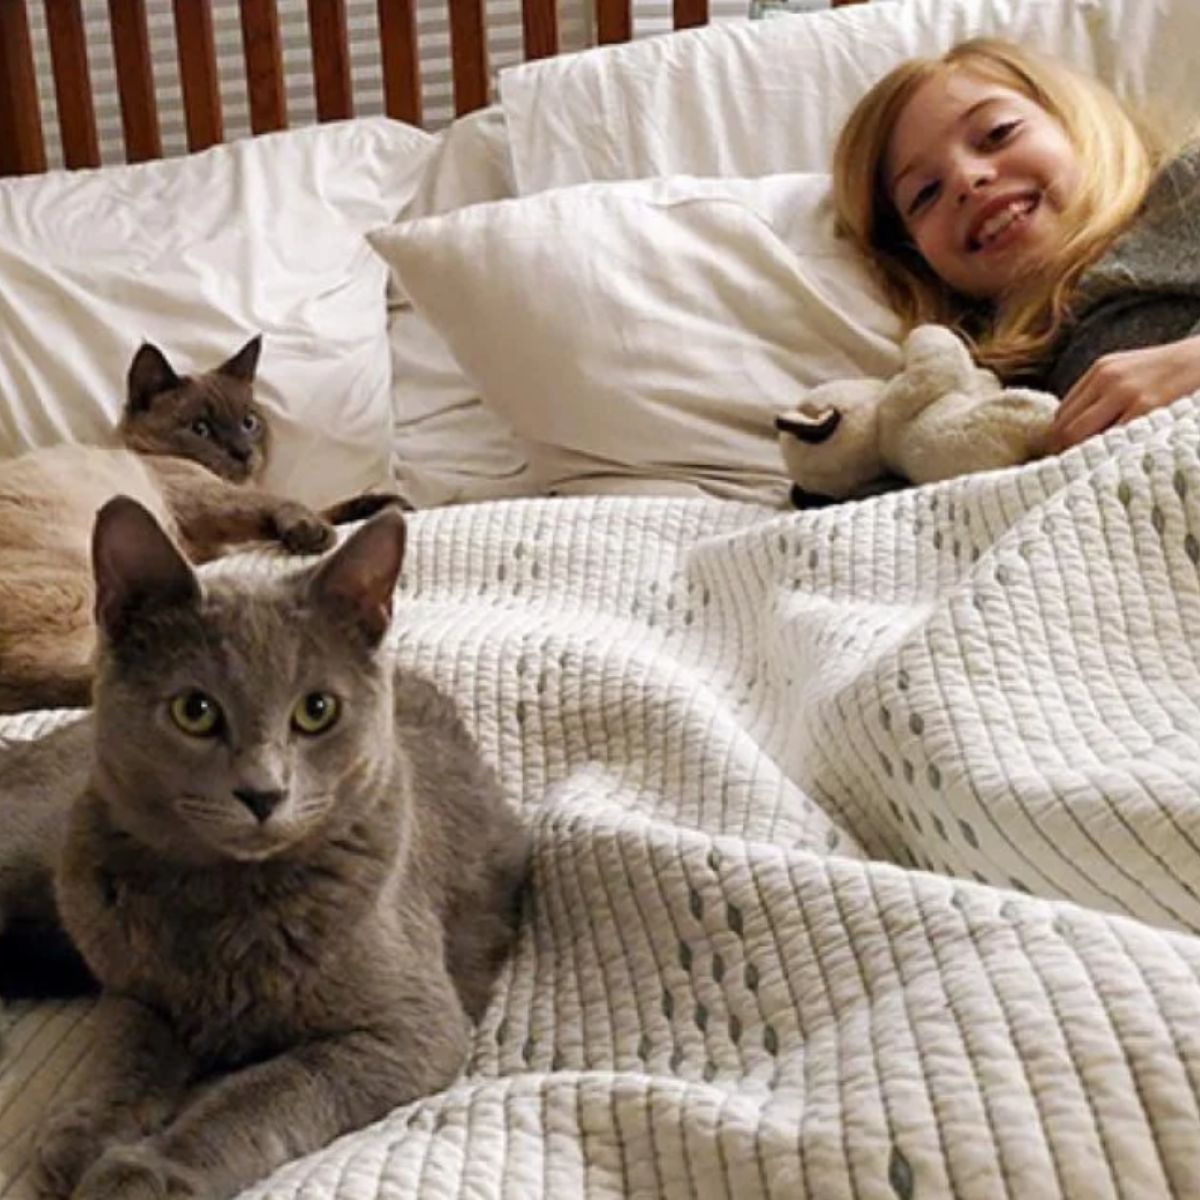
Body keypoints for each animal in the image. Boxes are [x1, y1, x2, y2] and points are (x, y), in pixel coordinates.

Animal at [0, 496, 528, 1200]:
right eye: (194, 711)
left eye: (317, 710)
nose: (263, 792)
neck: (226, 898)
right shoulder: (133, 988)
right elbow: (125, 1051)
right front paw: (86, 1133)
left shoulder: (405, 1029)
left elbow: (262, 1096)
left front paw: (146, 1171)